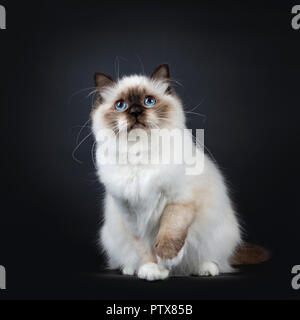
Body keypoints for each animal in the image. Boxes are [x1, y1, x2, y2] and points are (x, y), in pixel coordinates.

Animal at [90, 64, 268, 280]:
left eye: (149, 101)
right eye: (120, 105)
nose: (135, 111)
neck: (141, 152)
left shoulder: (180, 201)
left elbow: (170, 231)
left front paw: (167, 258)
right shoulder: (131, 215)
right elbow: (144, 248)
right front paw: (152, 269)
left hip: (220, 233)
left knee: (214, 260)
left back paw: (204, 269)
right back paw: (132, 269)